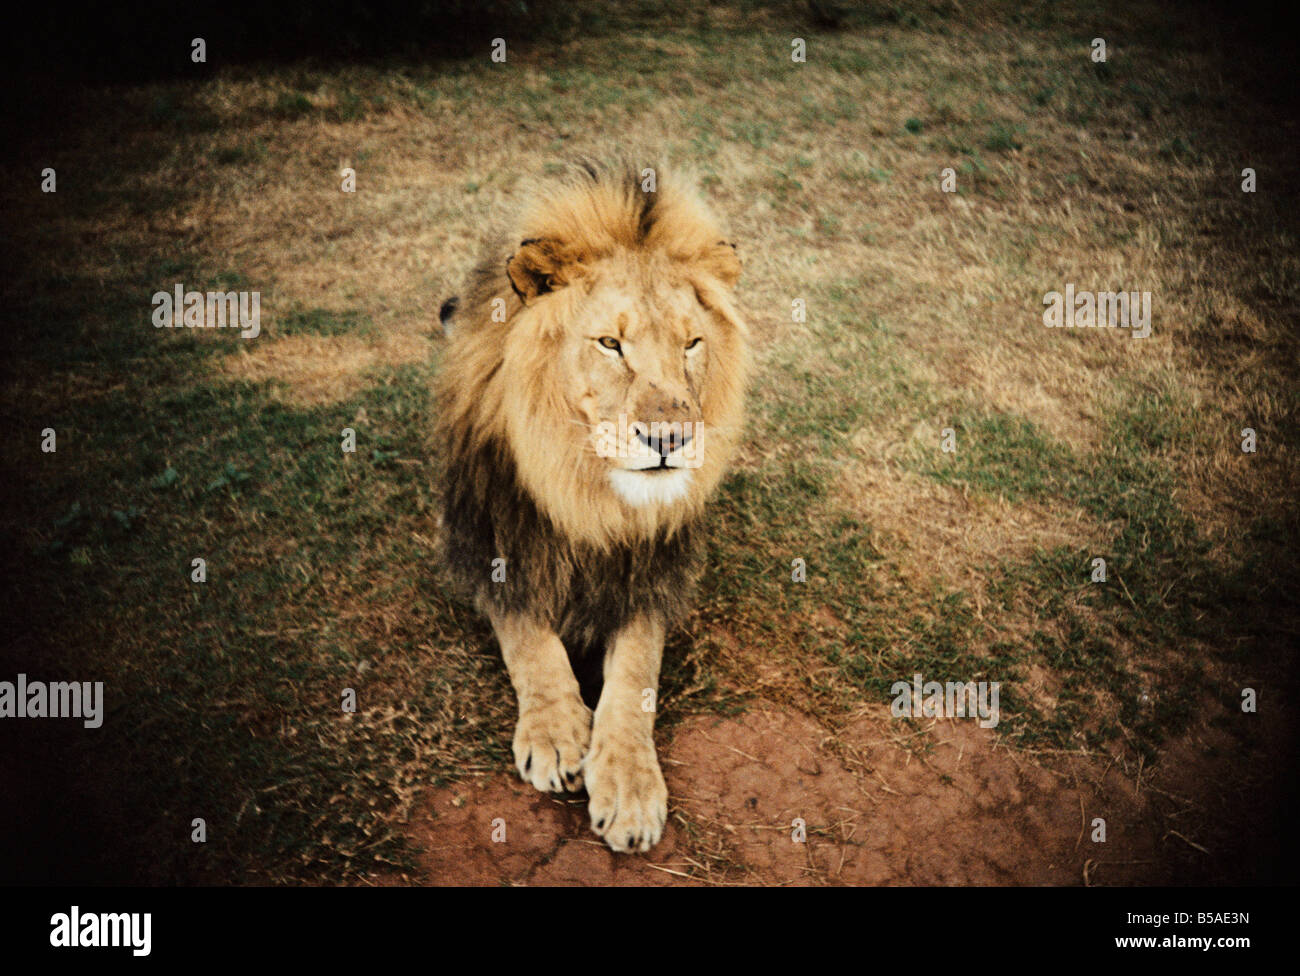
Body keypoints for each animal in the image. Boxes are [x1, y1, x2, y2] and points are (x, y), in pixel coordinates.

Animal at [435, 160, 747, 853]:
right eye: (610, 344)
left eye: (691, 344)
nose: (671, 440)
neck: (587, 492)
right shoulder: (493, 546)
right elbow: (529, 640)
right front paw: (555, 732)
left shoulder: (652, 574)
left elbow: (635, 674)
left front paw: (628, 785)